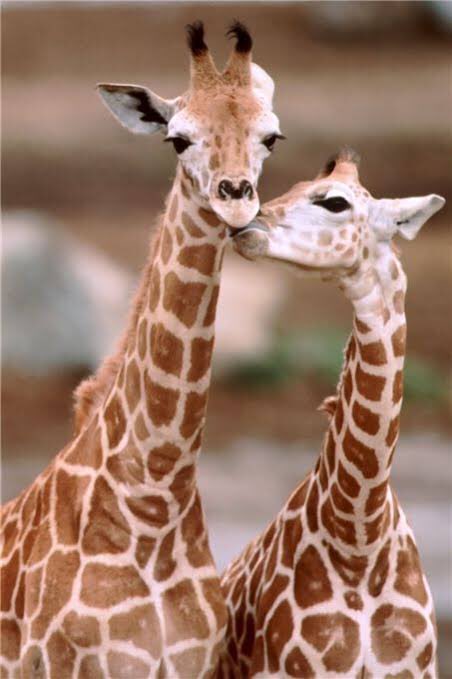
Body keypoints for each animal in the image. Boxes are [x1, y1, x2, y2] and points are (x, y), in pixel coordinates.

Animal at [219, 149, 445, 678]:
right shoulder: (291, 669)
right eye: (292, 185)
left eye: (334, 202)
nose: (244, 225)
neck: (359, 533)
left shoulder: (414, 668)